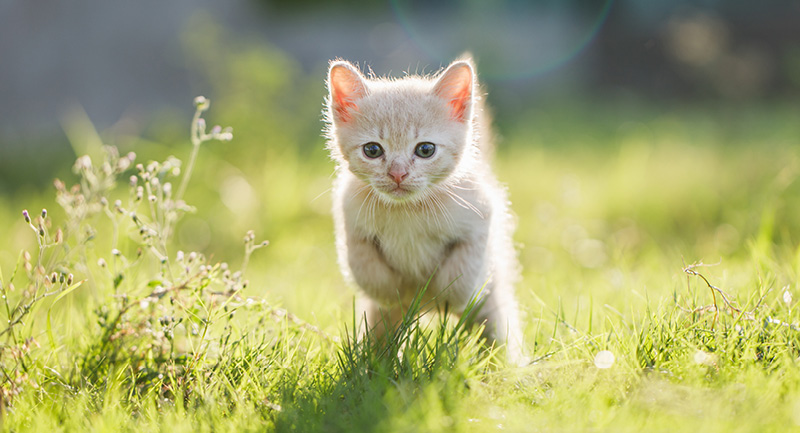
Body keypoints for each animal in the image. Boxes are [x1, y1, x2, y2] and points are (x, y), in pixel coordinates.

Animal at [324, 55, 524, 362]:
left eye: (425, 150)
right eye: (372, 150)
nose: (398, 174)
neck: (408, 210)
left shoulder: (482, 217)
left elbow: (463, 269)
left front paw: (447, 295)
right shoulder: (350, 221)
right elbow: (365, 268)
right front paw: (392, 292)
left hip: (494, 312)